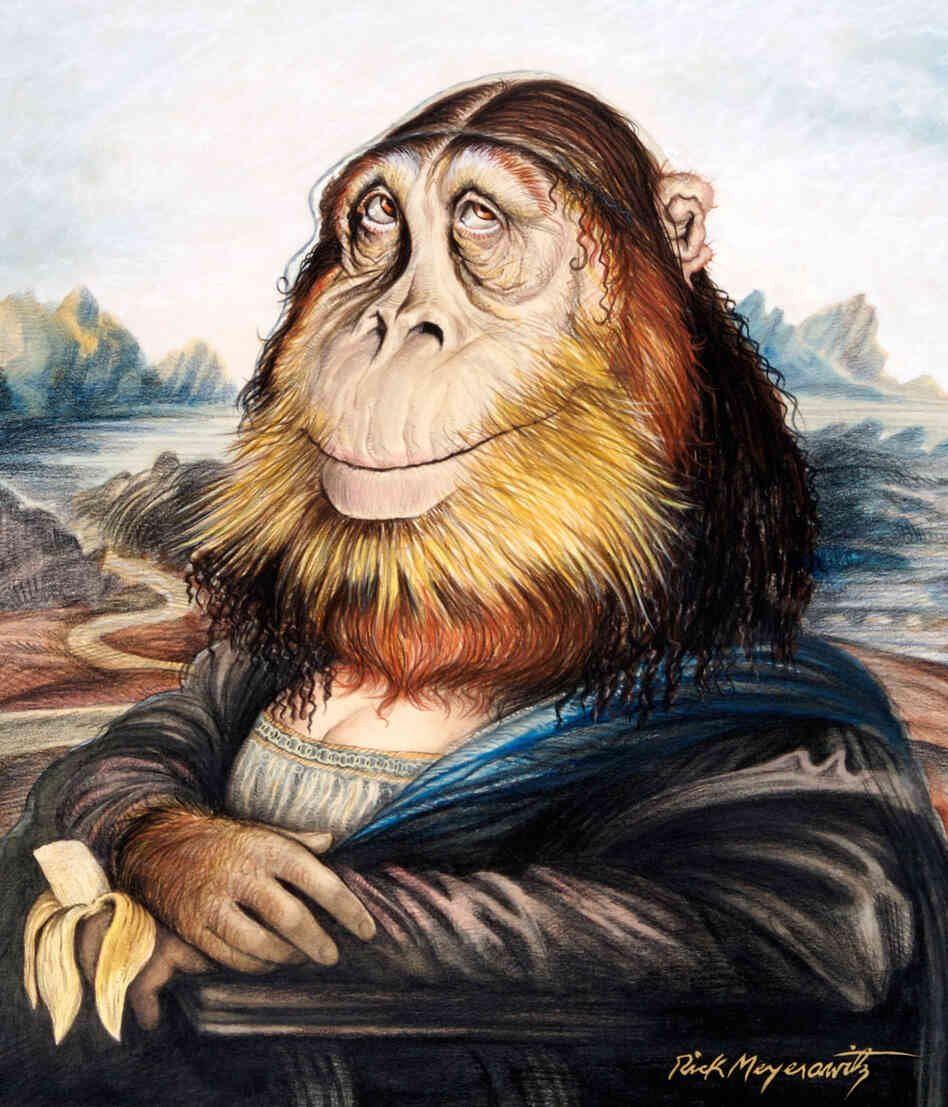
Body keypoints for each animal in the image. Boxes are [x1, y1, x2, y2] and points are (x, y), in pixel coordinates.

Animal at [2, 77, 947, 1107]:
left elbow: (769, 912)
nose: (389, 323)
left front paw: (214, 893)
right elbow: (152, 729)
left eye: (478, 219)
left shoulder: (808, 737)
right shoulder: (237, 657)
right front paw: (198, 858)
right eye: (380, 215)